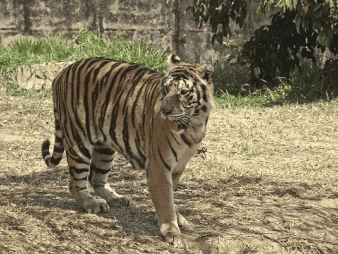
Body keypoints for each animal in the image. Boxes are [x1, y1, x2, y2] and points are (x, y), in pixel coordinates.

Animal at [40, 54, 214, 248]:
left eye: (183, 92)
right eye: (165, 88)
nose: (164, 110)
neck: (193, 123)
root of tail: (62, 73)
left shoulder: (178, 166)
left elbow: (171, 194)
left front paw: (176, 219)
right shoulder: (159, 165)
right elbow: (165, 200)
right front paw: (173, 232)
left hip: (105, 146)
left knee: (96, 177)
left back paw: (117, 199)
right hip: (78, 140)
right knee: (76, 182)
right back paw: (91, 203)